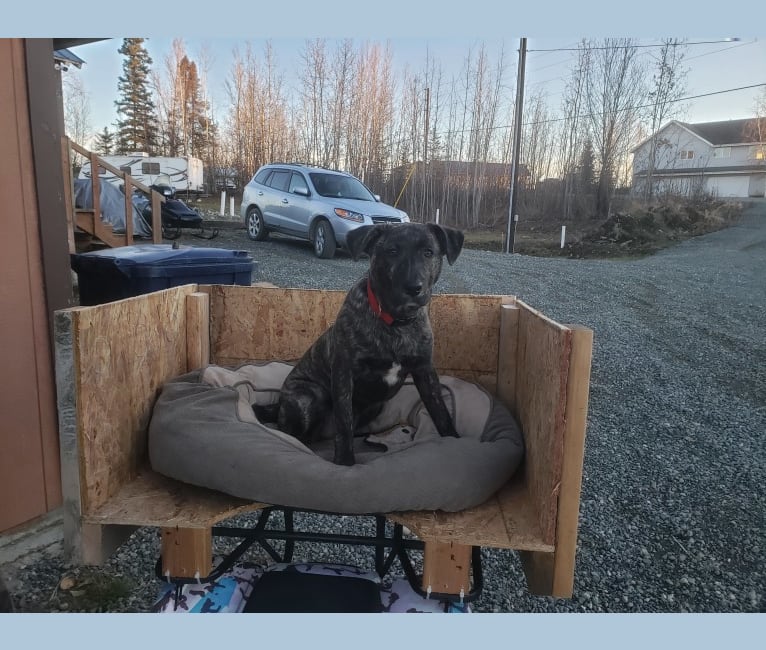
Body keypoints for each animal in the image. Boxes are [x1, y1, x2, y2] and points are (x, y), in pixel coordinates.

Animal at [280, 220, 464, 464]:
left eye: (428, 252)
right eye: (392, 251)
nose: (413, 287)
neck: (396, 323)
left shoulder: (425, 370)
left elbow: (440, 411)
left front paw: (454, 439)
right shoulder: (344, 373)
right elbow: (344, 423)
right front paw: (345, 462)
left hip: (375, 406)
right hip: (307, 397)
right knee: (289, 431)